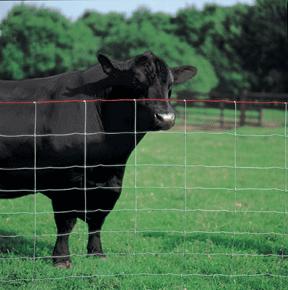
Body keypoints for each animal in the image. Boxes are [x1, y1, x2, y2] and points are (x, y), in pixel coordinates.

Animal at [0, 51, 196, 268]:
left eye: (170, 84)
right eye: (135, 80)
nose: (166, 117)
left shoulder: (111, 182)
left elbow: (98, 220)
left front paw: (96, 253)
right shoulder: (66, 181)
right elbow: (66, 222)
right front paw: (61, 258)